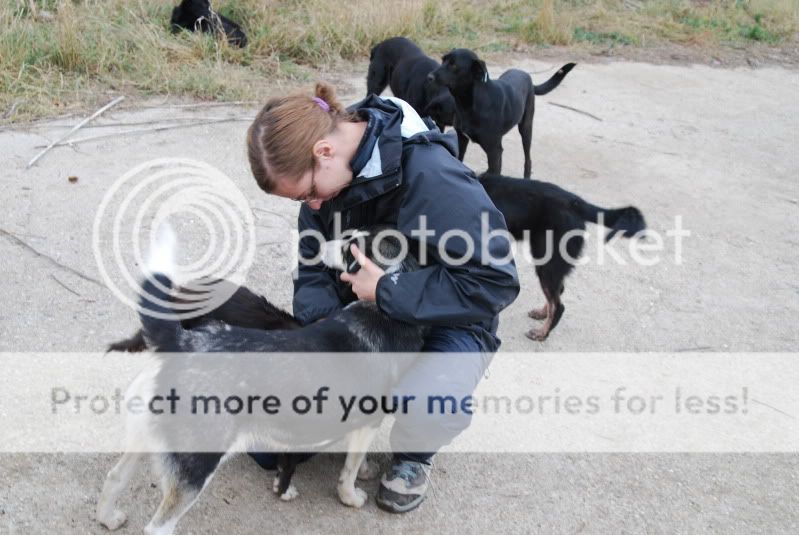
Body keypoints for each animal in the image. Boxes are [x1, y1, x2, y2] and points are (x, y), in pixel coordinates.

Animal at [432, 49, 576, 178]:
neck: (469, 105)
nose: (429, 77)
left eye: (454, 65)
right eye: (443, 60)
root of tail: (527, 75)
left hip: (526, 128)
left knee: (527, 159)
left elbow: (495, 171)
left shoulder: (493, 150)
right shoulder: (462, 139)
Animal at [478, 176, 648, 344]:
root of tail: (575, 202)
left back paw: (542, 333)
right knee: (557, 294)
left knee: (559, 305)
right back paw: (543, 313)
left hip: (546, 263)